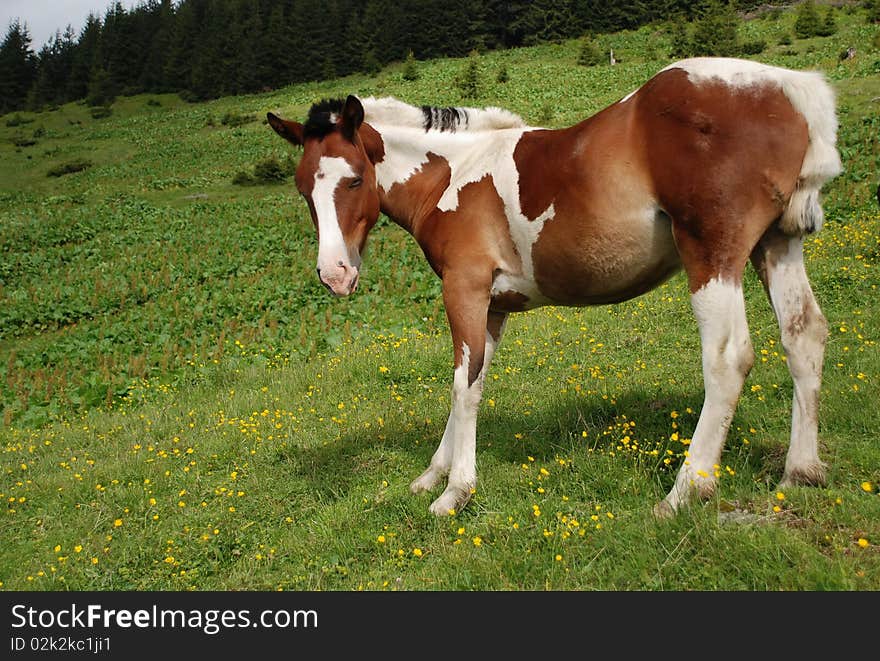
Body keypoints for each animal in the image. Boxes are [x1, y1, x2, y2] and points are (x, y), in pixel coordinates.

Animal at [264, 58, 844, 516]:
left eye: (355, 179)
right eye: (302, 188)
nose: (335, 274)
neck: (453, 174)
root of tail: (792, 90)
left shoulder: (465, 290)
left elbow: (461, 385)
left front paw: (454, 494)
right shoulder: (493, 306)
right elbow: (471, 380)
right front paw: (432, 474)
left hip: (713, 253)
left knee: (728, 357)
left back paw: (684, 493)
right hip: (776, 243)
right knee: (804, 335)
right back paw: (801, 471)